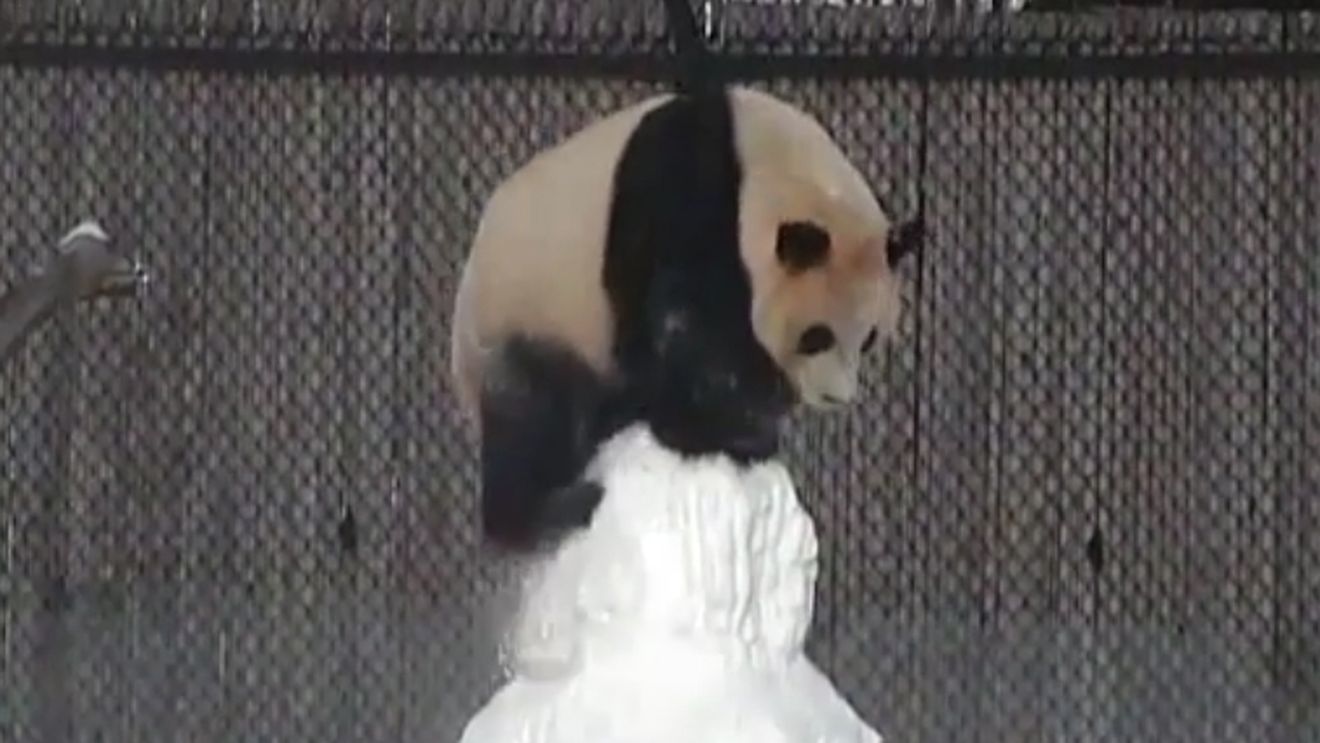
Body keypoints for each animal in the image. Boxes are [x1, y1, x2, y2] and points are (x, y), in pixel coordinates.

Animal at [450, 84, 922, 553]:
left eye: (868, 339)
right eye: (816, 336)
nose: (836, 396)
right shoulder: (680, 196)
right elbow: (682, 326)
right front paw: (725, 431)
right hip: (524, 320)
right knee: (536, 412)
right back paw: (544, 512)